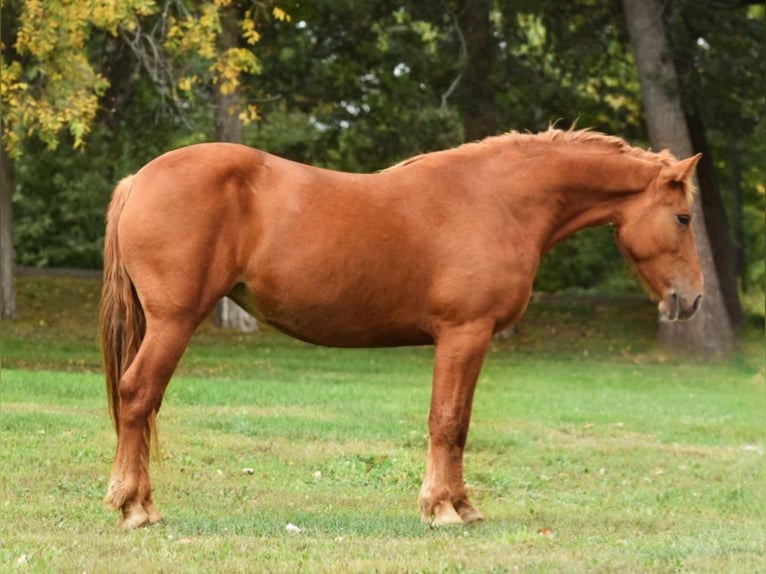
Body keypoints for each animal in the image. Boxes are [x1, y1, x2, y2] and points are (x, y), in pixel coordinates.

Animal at [99, 129, 704, 532]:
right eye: (683, 218)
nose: (692, 299)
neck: (498, 200)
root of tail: (139, 179)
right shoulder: (465, 334)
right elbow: (447, 422)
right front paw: (442, 509)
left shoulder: (471, 340)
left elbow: (459, 425)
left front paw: (462, 505)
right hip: (174, 322)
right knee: (137, 396)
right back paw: (135, 507)